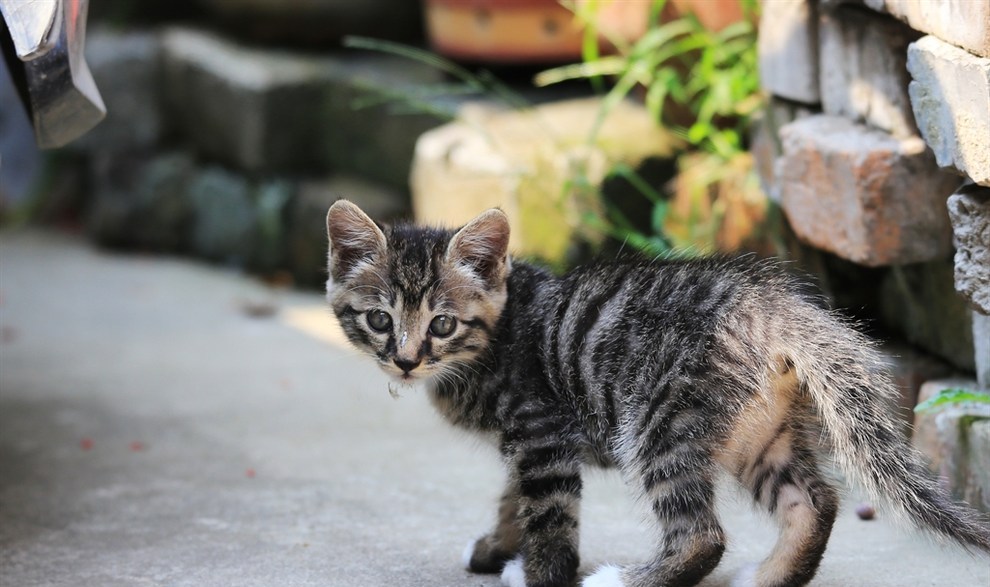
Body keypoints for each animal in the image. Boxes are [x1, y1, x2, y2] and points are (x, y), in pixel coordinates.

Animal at [326, 201, 990, 587]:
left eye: (442, 324)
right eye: (380, 319)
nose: (405, 360)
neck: (502, 326)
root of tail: (769, 303)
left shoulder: (541, 432)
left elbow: (546, 512)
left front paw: (540, 574)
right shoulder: (526, 444)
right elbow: (513, 499)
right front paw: (497, 547)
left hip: (660, 421)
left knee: (701, 535)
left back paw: (624, 581)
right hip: (759, 430)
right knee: (813, 501)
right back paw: (769, 579)